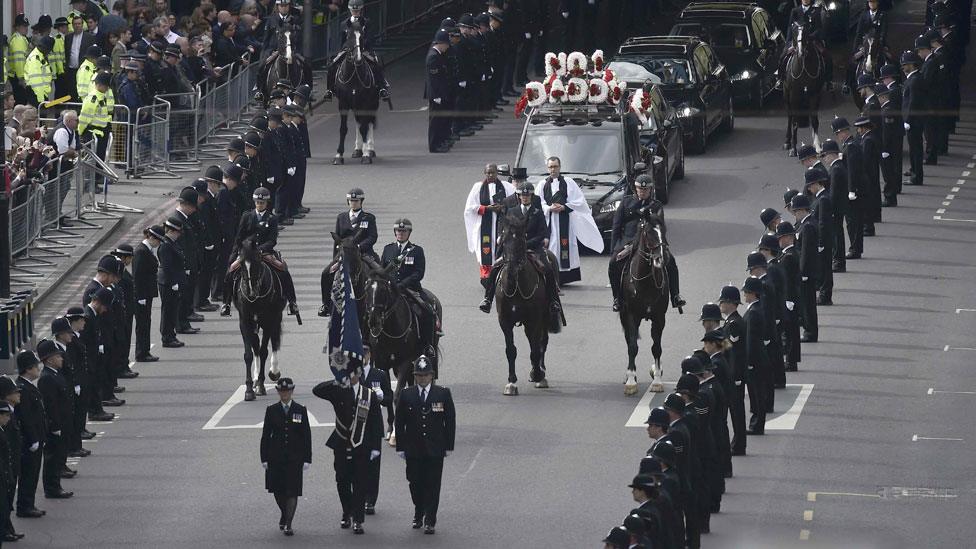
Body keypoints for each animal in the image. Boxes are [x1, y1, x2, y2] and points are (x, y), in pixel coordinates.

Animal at [234, 238, 286, 400]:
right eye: (241, 263)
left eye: (258, 260)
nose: (251, 292)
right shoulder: (245, 322)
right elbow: (249, 354)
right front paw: (250, 389)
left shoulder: (269, 320)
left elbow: (264, 351)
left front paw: (262, 385)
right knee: (256, 345)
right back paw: (256, 378)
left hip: (276, 317)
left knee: (274, 342)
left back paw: (274, 371)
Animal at [330, 27, 380, 165]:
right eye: (349, 37)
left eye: (361, 37)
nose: (357, 58)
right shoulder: (343, 103)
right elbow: (343, 128)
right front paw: (339, 155)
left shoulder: (366, 102)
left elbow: (365, 127)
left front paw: (366, 155)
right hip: (355, 105)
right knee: (359, 122)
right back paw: (358, 149)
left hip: (373, 103)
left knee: (369, 123)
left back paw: (370, 149)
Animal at [616, 212, 672, 396]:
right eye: (648, 233)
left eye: (663, 231)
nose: (661, 259)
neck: (646, 281)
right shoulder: (632, 316)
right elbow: (633, 346)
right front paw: (631, 382)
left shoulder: (659, 318)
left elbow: (657, 347)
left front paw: (657, 380)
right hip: (625, 315)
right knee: (629, 340)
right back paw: (630, 375)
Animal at [780, 19, 828, 156]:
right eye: (794, 31)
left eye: (806, 32)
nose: (800, 52)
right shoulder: (794, 95)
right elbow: (795, 121)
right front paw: (794, 149)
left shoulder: (815, 95)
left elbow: (814, 120)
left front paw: (817, 146)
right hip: (786, 94)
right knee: (790, 117)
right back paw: (787, 142)